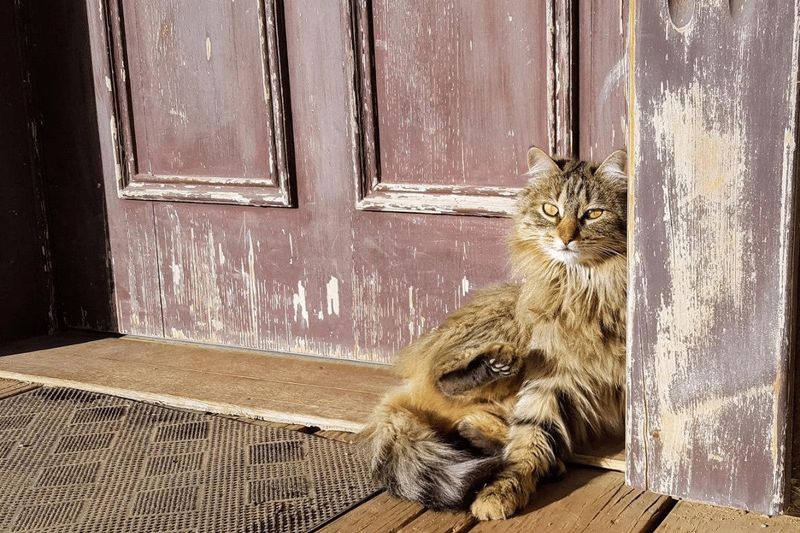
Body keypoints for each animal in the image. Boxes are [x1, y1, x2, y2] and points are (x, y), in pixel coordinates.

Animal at [360, 147, 628, 520]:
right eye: (551, 210)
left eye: (593, 214)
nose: (566, 238)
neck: (587, 288)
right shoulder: (552, 376)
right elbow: (528, 442)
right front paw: (502, 491)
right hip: (508, 326)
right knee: (446, 383)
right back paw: (493, 369)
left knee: (471, 420)